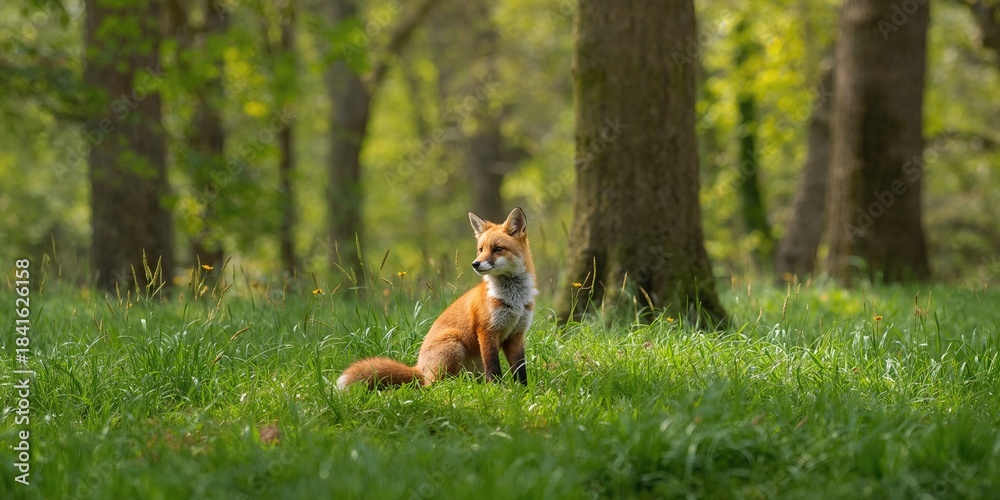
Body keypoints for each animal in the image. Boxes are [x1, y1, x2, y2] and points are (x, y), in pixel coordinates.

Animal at [336, 207, 537, 390]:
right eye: (480, 249)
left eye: (497, 249)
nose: (475, 264)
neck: (514, 300)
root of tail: (419, 368)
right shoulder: (487, 331)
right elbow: (494, 368)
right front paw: (498, 391)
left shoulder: (516, 335)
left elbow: (521, 370)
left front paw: (525, 392)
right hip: (454, 345)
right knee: (429, 387)